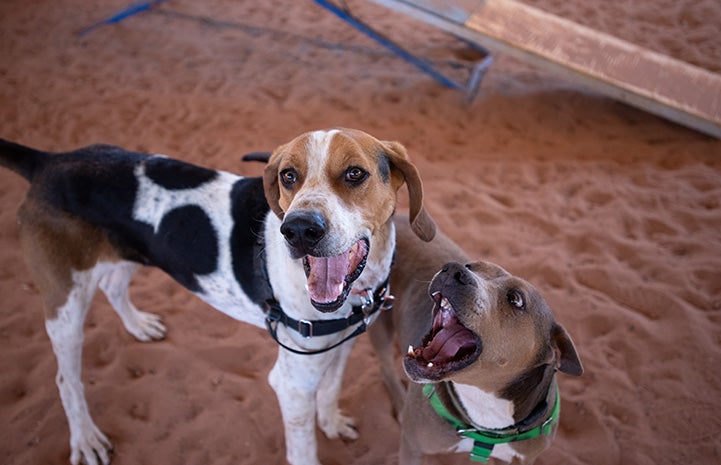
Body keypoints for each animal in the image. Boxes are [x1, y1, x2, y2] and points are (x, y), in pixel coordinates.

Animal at [368, 218, 584, 464]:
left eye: (515, 299)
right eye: (471, 266)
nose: (454, 269)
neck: (486, 410)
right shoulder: (412, 446)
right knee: (385, 365)